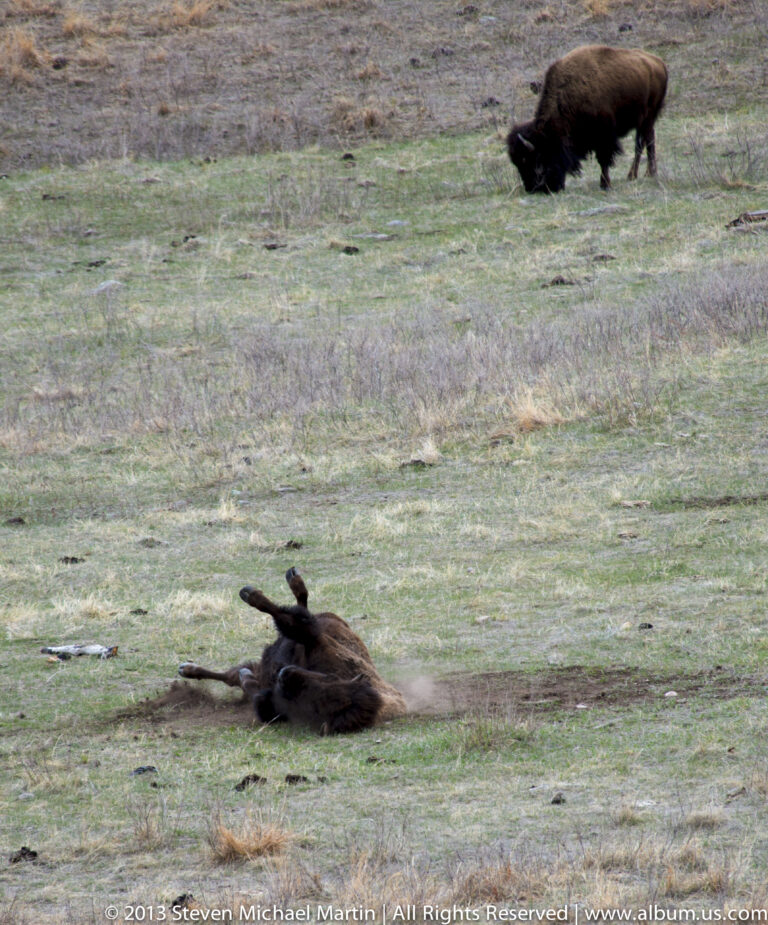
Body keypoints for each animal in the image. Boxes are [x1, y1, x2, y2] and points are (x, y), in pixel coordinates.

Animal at [178, 567, 406, 734]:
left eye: (315, 700)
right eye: (329, 680)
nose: (284, 675)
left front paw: (250, 594)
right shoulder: (316, 641)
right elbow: (292, 620)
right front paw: (250, 593)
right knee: (301, 608)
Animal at [507, 45, 668, 193]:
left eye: (533, 160)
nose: (534, 189)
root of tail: (658, 62)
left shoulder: (604, 136)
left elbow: (603, 160)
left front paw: (605, 184)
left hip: (647, 118)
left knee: (644, 143)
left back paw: (643, 174)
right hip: (644, 121)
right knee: (645, 141)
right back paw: (641, 174)